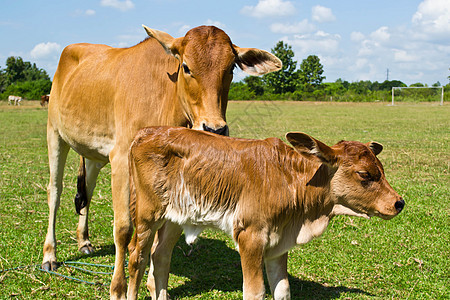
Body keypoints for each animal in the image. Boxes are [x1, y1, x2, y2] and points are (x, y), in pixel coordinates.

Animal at [43, 25, 282, 300]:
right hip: (55, 134)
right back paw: (49, 255)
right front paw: (118, 289)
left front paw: (154, 287)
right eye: (186, 66)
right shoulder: (121, 160)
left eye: (231, 68)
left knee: (87, 193)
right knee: (55, 192)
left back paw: (84, 241)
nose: (215, 129)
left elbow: (161, 239)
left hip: (93, 155)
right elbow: (123, 230)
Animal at [124, 125, 404, 298]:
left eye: (382, 169)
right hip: (148, 213)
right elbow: (255, 292)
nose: (399, 202)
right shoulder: (250, 236)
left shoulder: (278, 243)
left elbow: (283, 290)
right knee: (137, 256)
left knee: (160, 256)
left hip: (174, 216)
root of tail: (146, 132)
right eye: (364, 174)